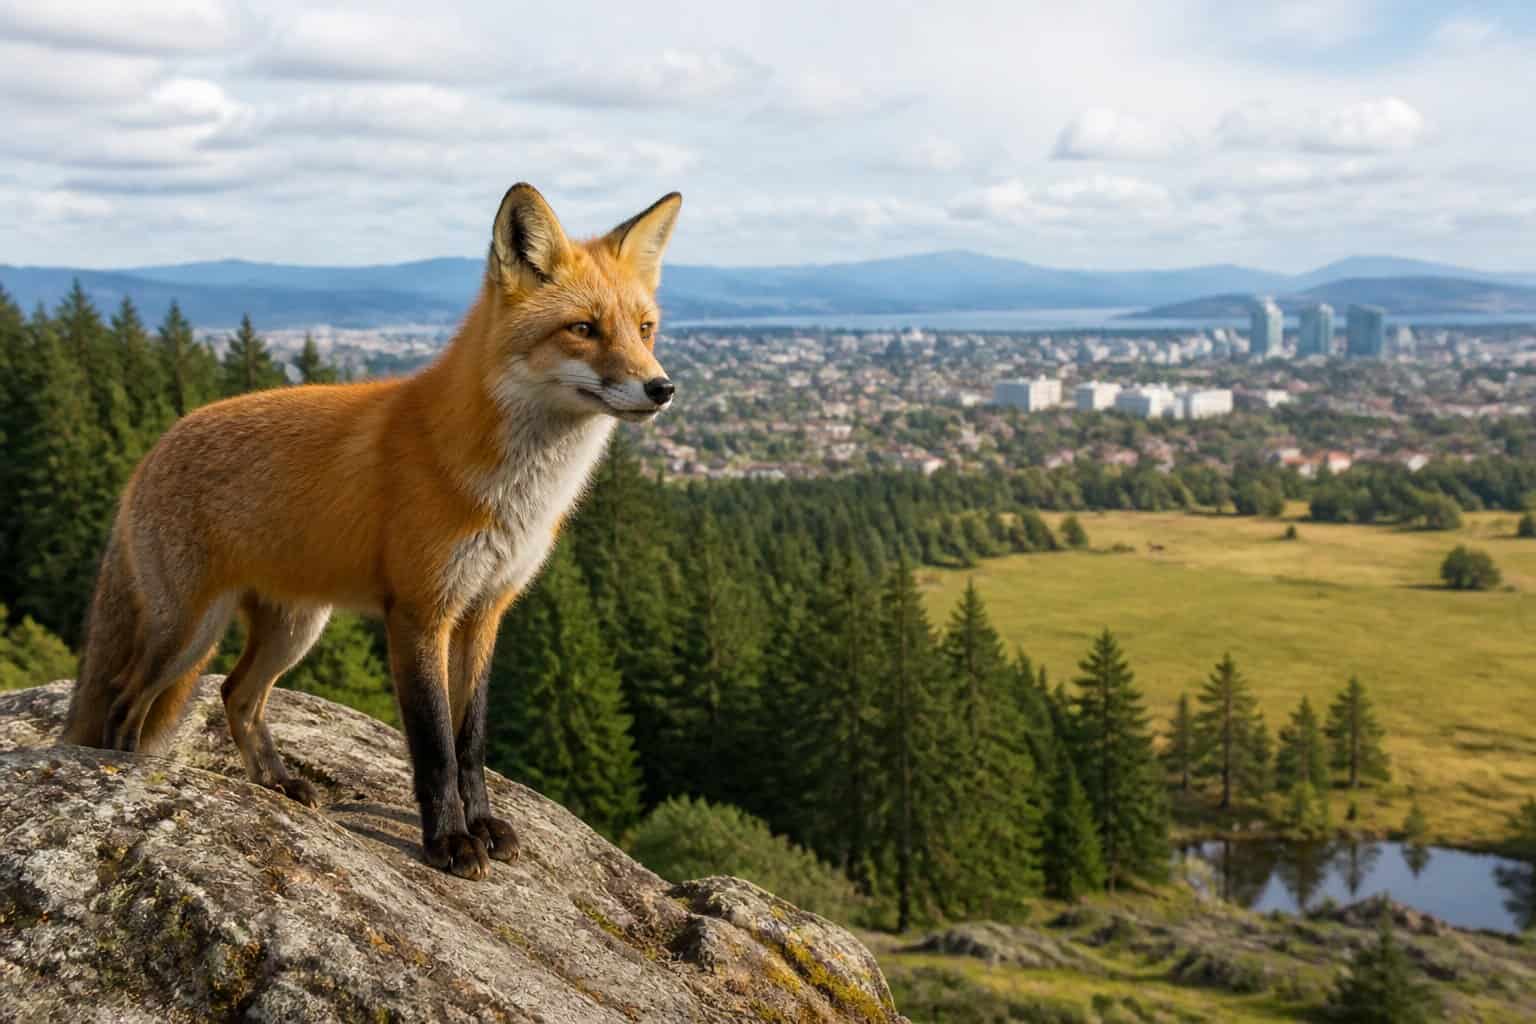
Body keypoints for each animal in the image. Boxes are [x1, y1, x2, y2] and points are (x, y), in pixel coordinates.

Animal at [61, 183, 682, 880]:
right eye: (583, 329)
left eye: (645, 328)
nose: (662, 387)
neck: (510, 489)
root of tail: (154, 450)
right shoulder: (419, 613)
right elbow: (434, 747)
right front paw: (448, 842)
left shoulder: (484, 612)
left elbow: (470, 741)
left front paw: (483, 824)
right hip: (189, 633)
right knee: (125, 699)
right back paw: (125, 772)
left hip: (293, 630)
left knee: (235, 695)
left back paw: (276, 783)